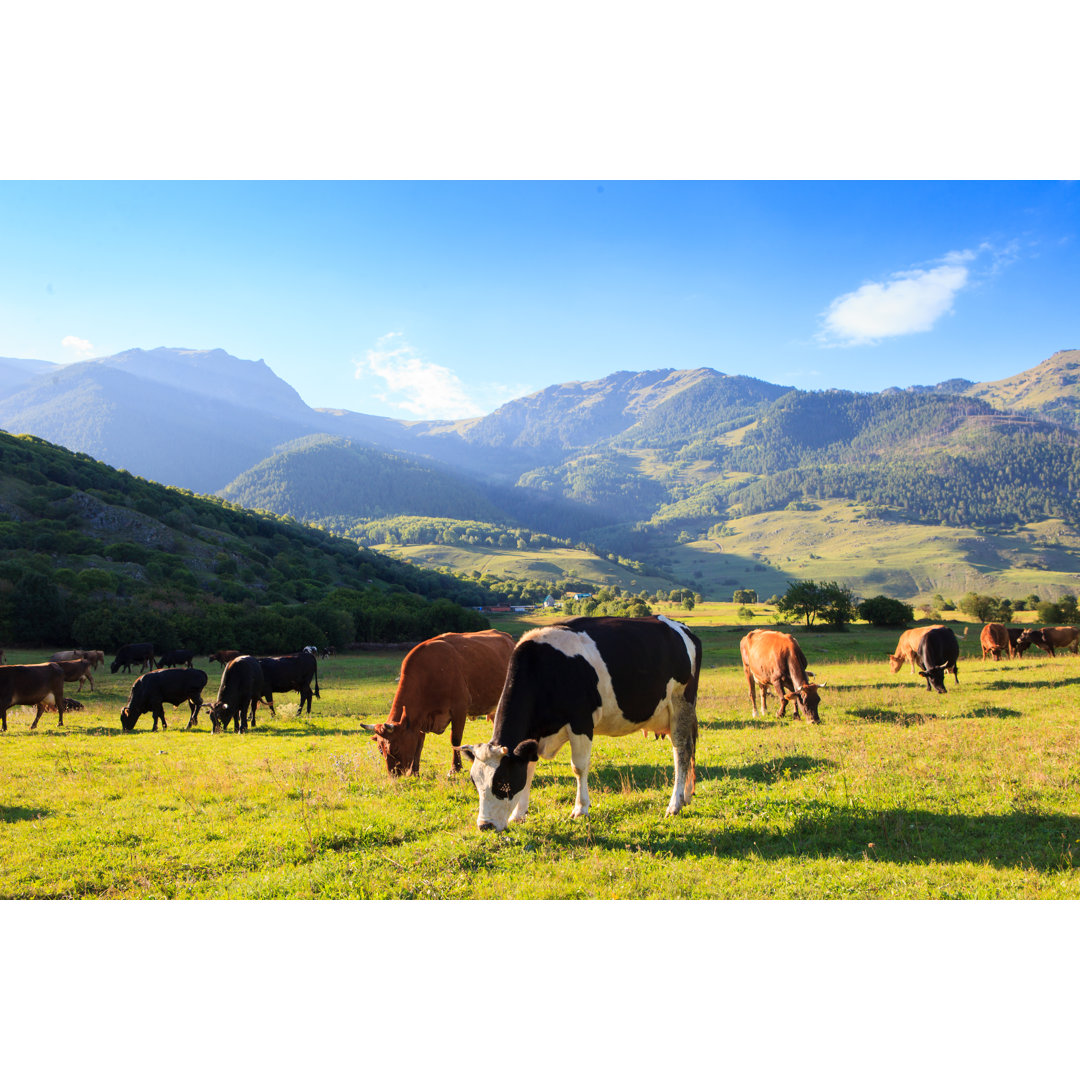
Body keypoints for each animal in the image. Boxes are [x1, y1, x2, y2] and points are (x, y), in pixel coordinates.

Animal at [360, 630, 516, 781]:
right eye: (381, 749)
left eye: (396, 748)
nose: (393, 775)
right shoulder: (419, 719)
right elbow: (419, 744)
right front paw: (415, 772)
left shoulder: (459, 709)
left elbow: (455, 740)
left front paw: (454, 769)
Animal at [457, 617, 699, 833]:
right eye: (475, 783)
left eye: (503, 783)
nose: (485, 826)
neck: (544, 668)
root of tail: (681, 627)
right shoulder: (533, 736)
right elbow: (529, 769)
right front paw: (519, 814)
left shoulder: (581, 722)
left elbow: (579, 767)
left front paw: (581, 809)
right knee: (689, 749)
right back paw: (686, 796)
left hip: (681, 703)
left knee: (681, 752)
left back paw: (674, 805)